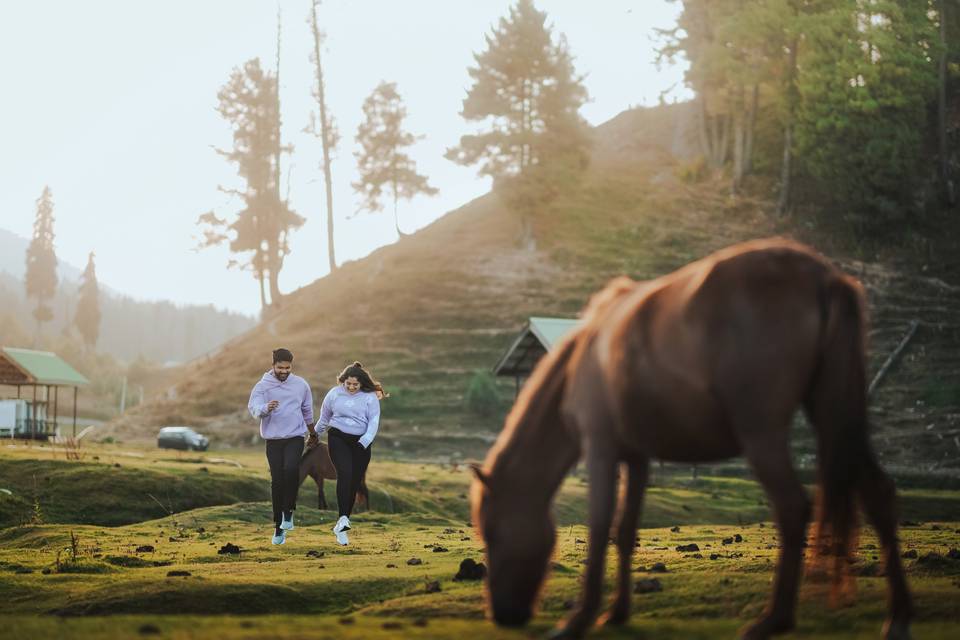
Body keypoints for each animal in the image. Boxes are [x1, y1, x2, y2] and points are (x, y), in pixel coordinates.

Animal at [472, 240, 916, 640]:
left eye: (492, 532)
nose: (502, 615)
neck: (586, 356)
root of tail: (824, 277)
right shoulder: (636, 458)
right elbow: (625, 530)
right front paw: (617, 613)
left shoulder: (600, 449)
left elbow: (599, 527)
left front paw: (578, 620)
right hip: (835, 418)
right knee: (878, 495)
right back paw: (897, 618)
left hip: (763, 433)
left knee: (793, 507)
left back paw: (773, 621)